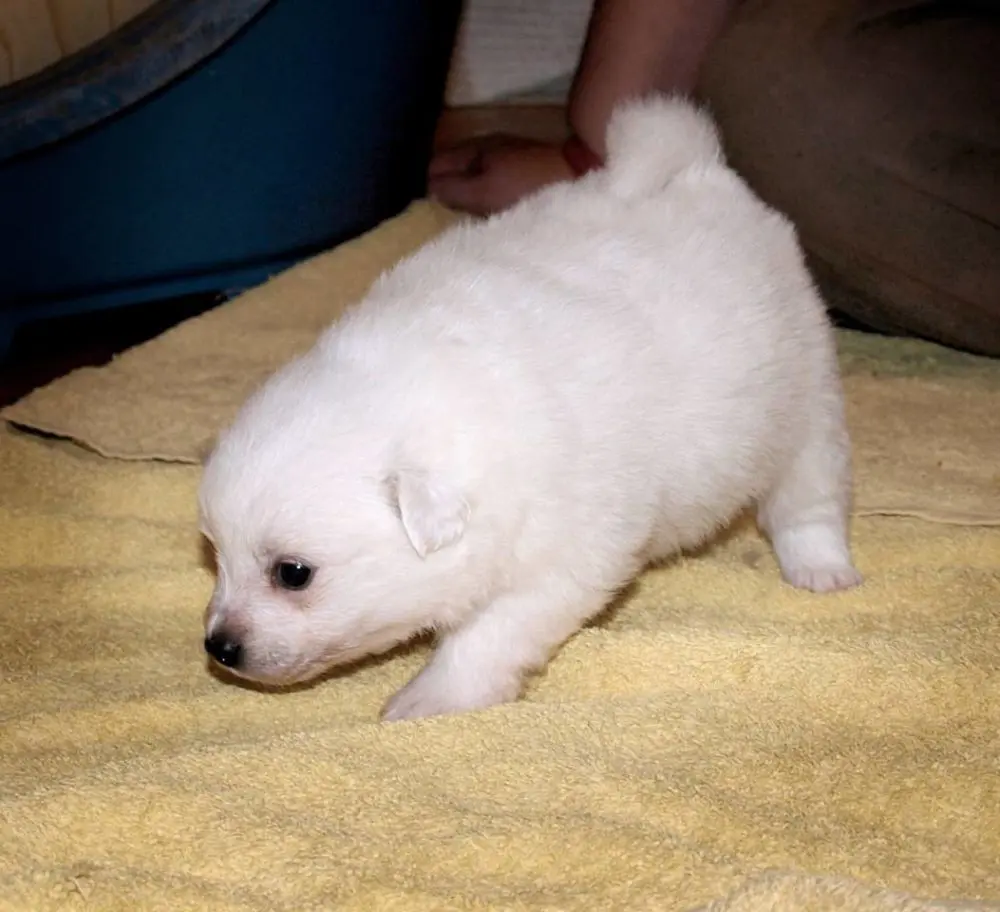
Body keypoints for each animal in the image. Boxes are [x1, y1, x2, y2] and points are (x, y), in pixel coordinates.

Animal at [199, 95, 862, 721]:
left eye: (293, 573)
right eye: (215, 554)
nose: (219, 647)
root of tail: (697, 168)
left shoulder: (563, 558)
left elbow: (486, 636)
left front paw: (430, 701)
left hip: (806, 393)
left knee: (807, 496)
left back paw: (822, 570)